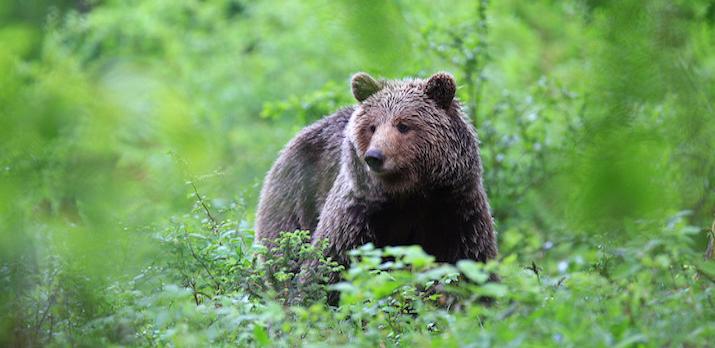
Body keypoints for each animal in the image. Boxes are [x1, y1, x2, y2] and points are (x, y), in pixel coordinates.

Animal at [256, 72, 498, 270]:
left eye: (403, 125)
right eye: (372, 127)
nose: (374, 156)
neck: (408, 194)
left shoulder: (457, 211)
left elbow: (470, 262)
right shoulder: (357, 215)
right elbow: (329, 265)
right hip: (295, 198)